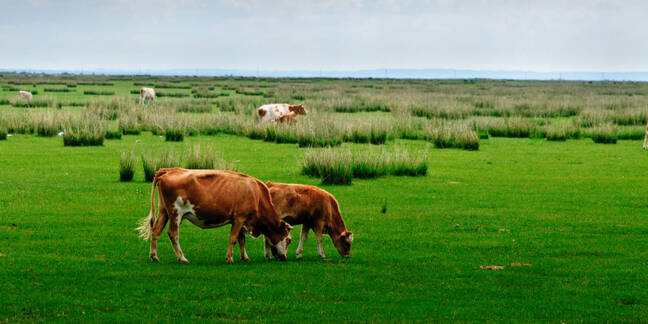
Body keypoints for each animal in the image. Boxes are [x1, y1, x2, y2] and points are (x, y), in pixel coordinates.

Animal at [137, 168, 294, 264]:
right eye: (288, 240)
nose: (284, 258)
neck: (256, 194)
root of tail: (168, 170)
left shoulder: (240, 220)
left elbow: (241, 240)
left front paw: (244, 257)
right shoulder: (239, 218)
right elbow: (233, 239)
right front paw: (229, 258)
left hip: (164, 211)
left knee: (156, 231)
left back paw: (154, 256)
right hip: (176, 213)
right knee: (173, 234)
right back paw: (182, 258)